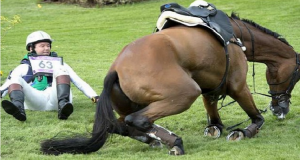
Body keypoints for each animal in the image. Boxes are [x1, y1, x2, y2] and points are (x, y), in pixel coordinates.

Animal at [41, 25, 264, 156]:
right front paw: (244, 131)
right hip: (184, 93)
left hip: (136, 103)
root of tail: (116, 67)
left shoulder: (210, 92)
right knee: (137, 120)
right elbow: (257, 118)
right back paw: (174, 142)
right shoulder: (238, 86)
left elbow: (216, 119)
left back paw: (155, 140)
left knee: (121, 124)